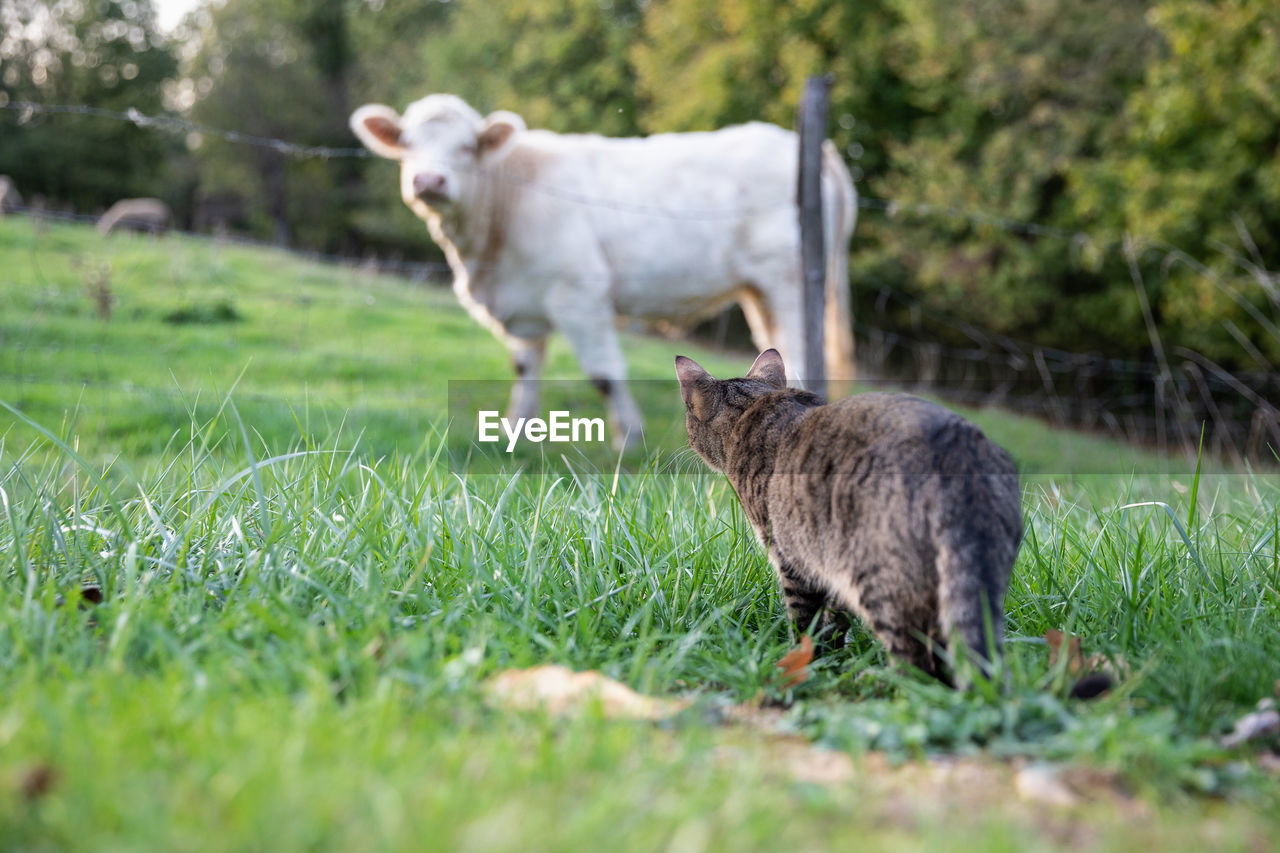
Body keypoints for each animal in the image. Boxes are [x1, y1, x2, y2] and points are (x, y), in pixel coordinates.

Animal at [350, 94, 855, 445]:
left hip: (788, 280)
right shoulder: (525, 298)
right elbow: (524, 365)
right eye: (407, 144)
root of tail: (816, 148)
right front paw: (517, 429)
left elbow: (604, 374)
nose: (429, 180)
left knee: (798, 350)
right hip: (760, 291)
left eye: (467, 147)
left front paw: (628, 436)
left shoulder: (577, 291)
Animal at [675, 345, 1024, 676]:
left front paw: (802, 662)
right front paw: (831, 657)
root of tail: (960, 451)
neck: (753, 408)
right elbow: (834, 619)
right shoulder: (829, 564)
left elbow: (804, 623)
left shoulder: (794, 559)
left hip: (880, 579)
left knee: (919, 661)